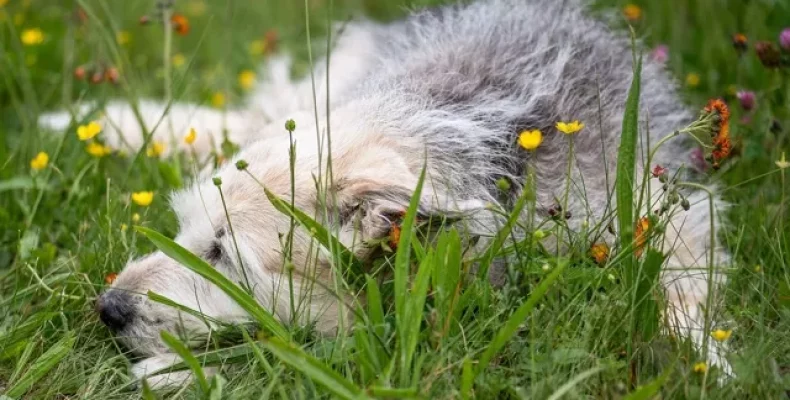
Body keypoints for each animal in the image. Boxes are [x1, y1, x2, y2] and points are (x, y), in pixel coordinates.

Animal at [40, 0, 732, 390]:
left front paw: (706, 363)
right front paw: (177, 373)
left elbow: (681, 294)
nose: (107, 309)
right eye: (182, 231)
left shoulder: (670, 214)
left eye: (222, 255)